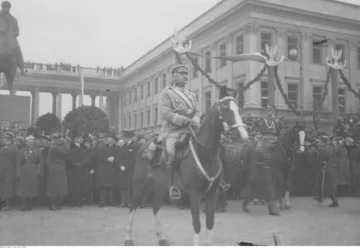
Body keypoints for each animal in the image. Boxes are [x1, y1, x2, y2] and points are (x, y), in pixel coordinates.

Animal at [123, 85, 248, 246]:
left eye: (238, 108)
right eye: (225, 109)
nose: (243, 135)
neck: (207, 156)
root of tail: (142, 146)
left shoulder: (212, 193)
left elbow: (210, 222)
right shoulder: (195, 194)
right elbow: (197, 224)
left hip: (160, 185)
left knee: (156, 206)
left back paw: (161, 237)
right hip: (140, 182)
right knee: (133, 205)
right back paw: (128, 237)